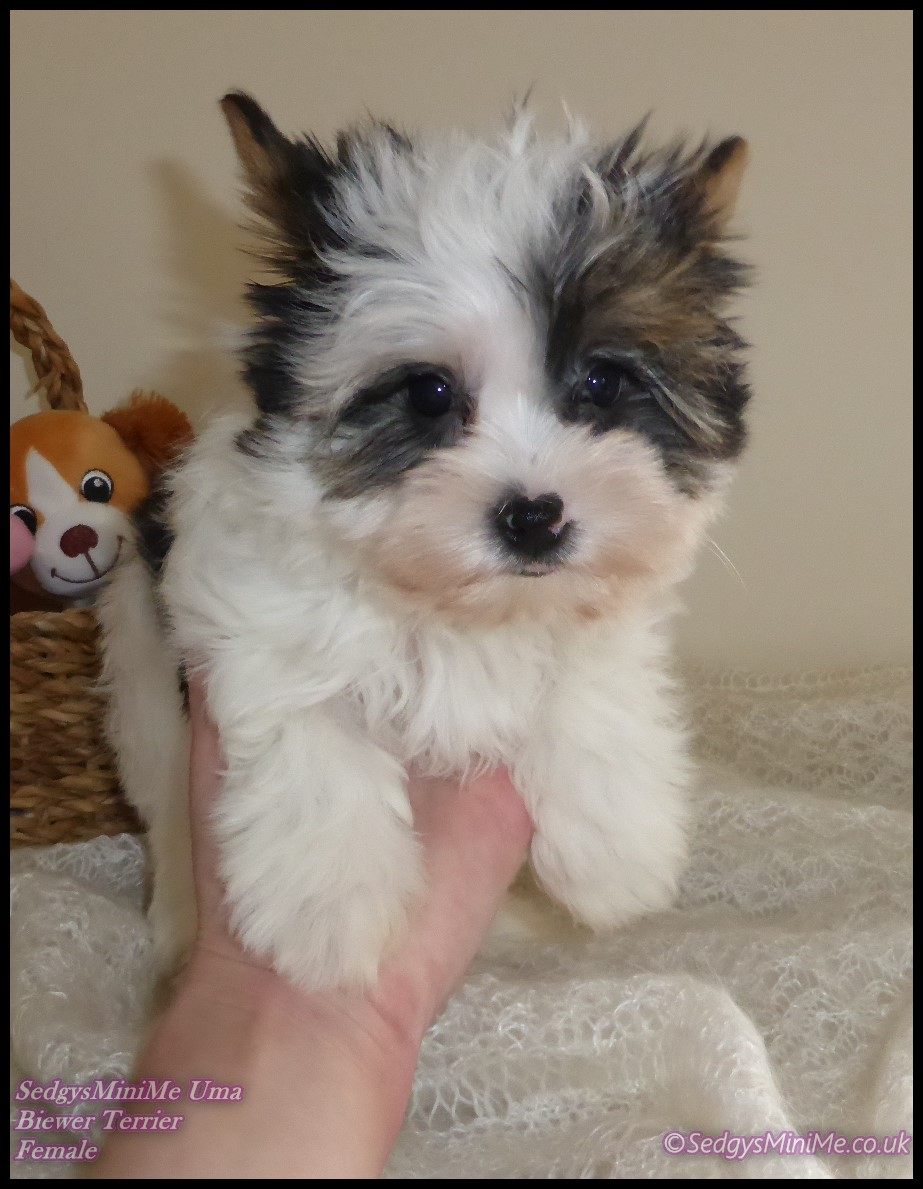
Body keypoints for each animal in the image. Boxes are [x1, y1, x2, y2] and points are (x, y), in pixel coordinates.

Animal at [98, 92, 750, 991]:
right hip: (139, 677)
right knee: (163, 808)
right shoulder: (243, 611)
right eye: (429, 394)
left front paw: (613, 849)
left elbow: (587, 674)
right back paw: (178, 926)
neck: (455, 613)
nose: (533, 515)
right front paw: (329, 909)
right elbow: (308, 716)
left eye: (601, 382)